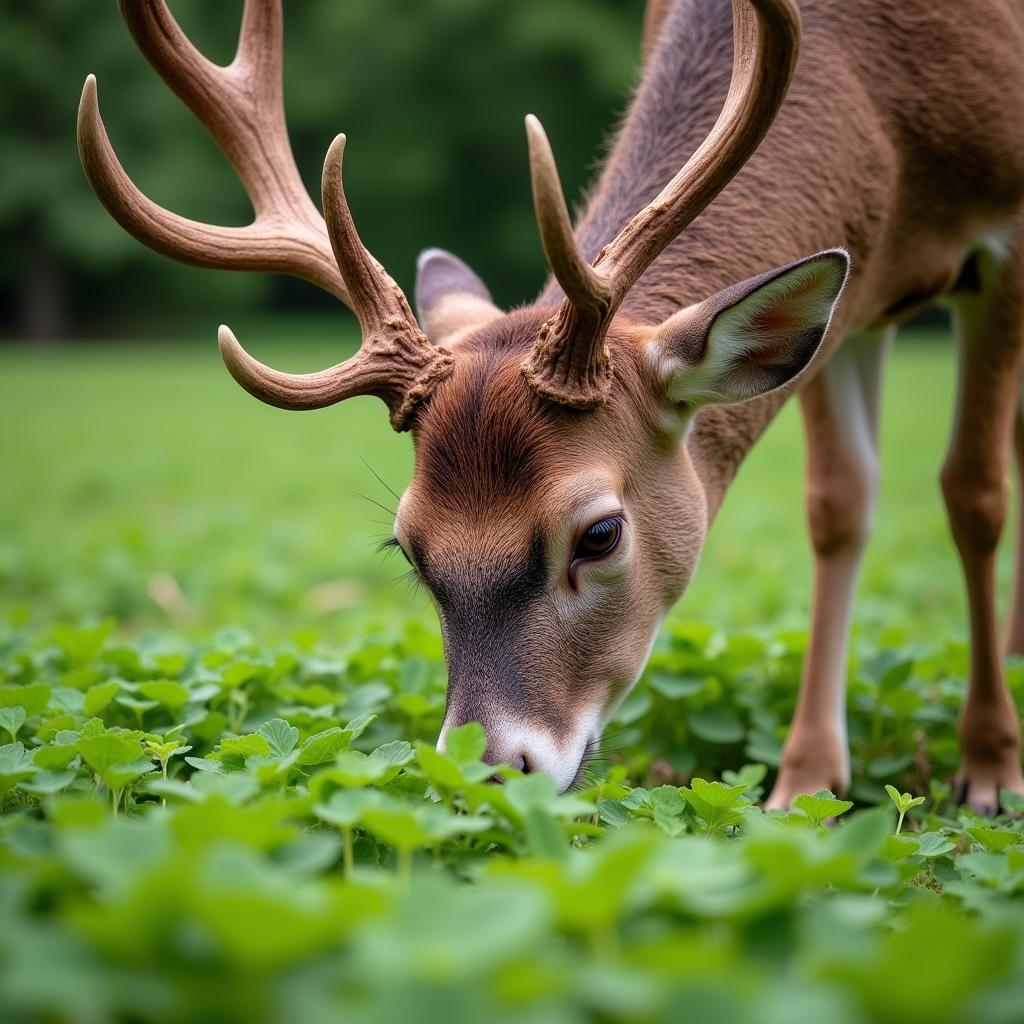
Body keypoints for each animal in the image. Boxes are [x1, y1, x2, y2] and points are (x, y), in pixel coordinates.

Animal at [79, 2, 1024, 815]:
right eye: (407, 547)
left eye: (600, 534)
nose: (493, 771)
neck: (889, 136)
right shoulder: (854, 299)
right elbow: (839, 504)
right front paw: (809, 782)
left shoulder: (1001, 239)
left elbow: (973, 493)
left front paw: (990, 771)